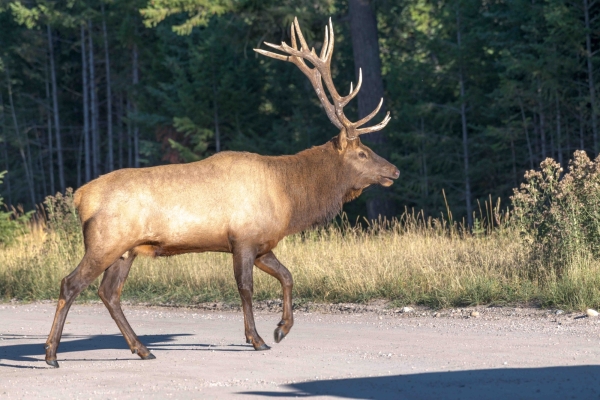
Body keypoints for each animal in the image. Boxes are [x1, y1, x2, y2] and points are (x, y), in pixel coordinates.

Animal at [42, 17, 398, 368]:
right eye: (362, 153)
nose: (393, 170)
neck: (289, 198)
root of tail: (80, 197)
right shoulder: (243, 239)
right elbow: (246, 289)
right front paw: (257, 339)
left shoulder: (263, 244)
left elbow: (287, 276)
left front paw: (282, 328)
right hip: (105, 242)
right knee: (71, 283)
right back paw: (51, 354)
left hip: (125, 250)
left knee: (109, 292)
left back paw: (142, 348)